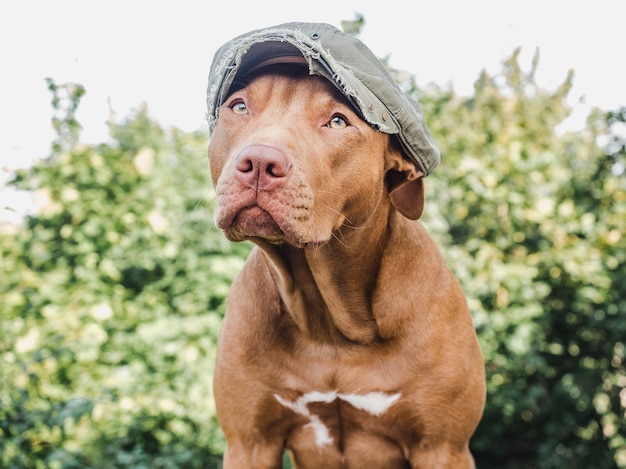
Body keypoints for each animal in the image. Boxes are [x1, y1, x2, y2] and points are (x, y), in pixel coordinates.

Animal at [205, 22, 482, 468]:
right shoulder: (249, 442)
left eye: (337, 121)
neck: (331, 325)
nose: (259, 163)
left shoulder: (442, 446)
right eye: (240, 107)